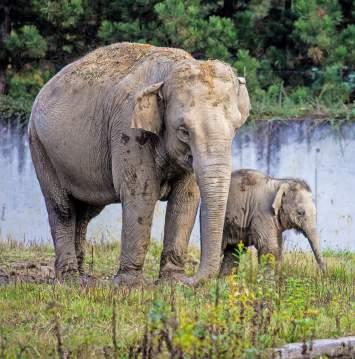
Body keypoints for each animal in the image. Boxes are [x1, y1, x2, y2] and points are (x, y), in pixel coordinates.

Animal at [28, 43, 250, 286]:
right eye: (184, 131)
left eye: (235, 128)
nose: (190, 280)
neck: (167, 76)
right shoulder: (128, 130)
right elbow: (141, 195)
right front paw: (129, 285)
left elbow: (186, 198)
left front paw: (172, 281)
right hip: (40, 147)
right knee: (62, 208)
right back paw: (69, 279)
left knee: (86, 211)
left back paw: (83, 277)